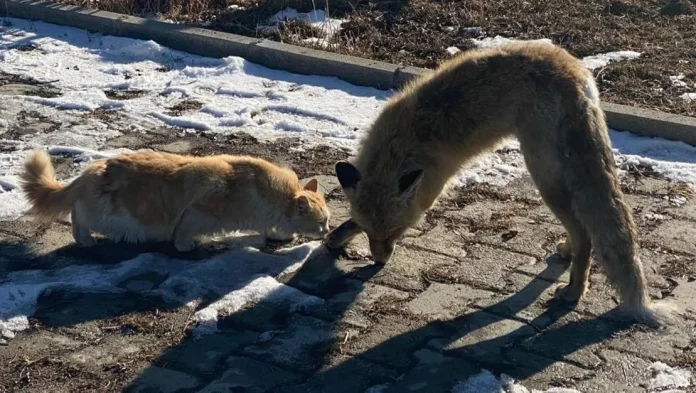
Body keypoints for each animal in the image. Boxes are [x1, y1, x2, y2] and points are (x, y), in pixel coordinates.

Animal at [19, 149, 328, 250]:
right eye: (322, 222)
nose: (326, 232)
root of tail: (91, 169)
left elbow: (271, 229)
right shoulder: (198, 212)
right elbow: (182, 235)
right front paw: (189, 246)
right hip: (106, 214)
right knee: (78, 216)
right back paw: (86, 240)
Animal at [326, 41, 668, 326]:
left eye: (396, 232)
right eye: (371, 233)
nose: (380, 262)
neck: (400, 147)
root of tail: (574, 71)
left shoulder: (429, 190)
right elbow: (349, 220)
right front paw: (336, 237)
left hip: (543, 177)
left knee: (585, 233)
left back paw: (574, 292)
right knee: (581, 228)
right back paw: (567, 252)